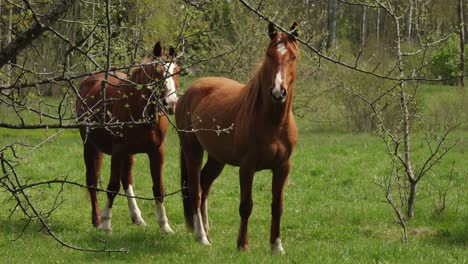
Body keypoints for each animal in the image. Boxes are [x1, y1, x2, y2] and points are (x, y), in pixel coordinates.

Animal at [77, 41, 179, 233]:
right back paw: (97, 220)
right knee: (92, 181)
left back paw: (137, 217)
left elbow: (158, 189)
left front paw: (164, 226)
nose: (171, 103)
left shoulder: (156, 152)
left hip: (128, 154)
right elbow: (112, 187)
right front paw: (106, 224)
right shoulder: (118, 151)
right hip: (91, 147)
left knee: (126, 179)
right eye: (157, 72)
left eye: (177, 71)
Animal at [176, 23, 300, 256]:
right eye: (269, 55)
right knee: (196, 190)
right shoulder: (247, 167)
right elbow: (246, 205)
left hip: (217, 158)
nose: (278, 92)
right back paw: (201, 236)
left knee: (205, 184)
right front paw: (242, 244)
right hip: (192, 151)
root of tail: (189, 91)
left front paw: (276, 246)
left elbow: (277, 206)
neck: (273, 123)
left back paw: (206, 231)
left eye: (293, 56)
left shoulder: (282, 167)